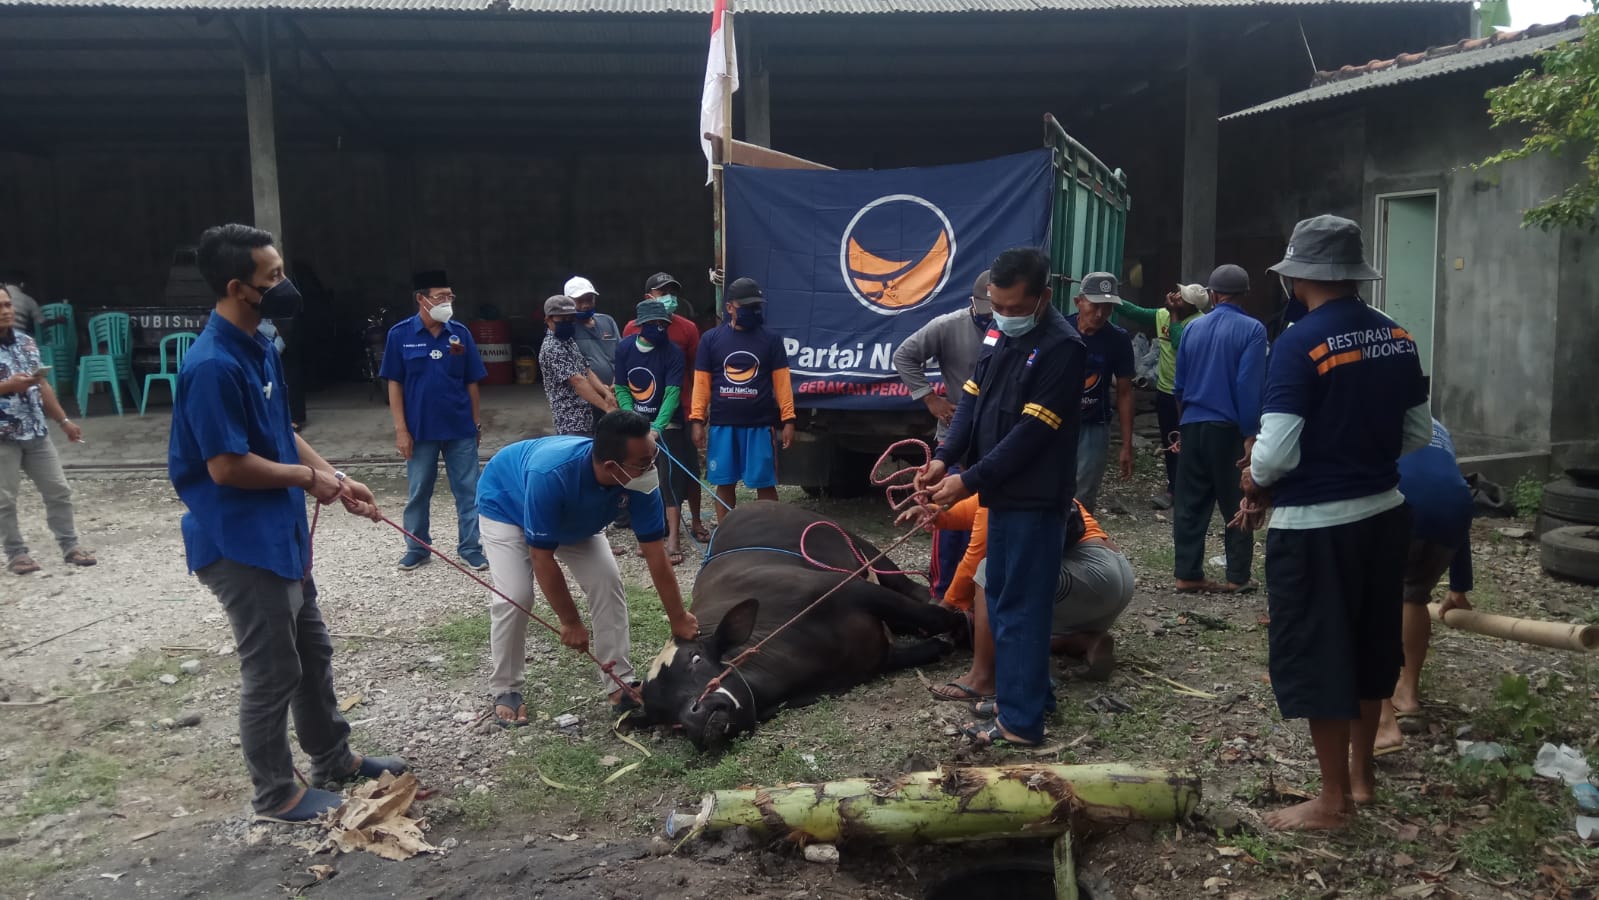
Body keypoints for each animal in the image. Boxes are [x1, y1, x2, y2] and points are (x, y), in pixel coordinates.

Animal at [636, 505, 959, 751]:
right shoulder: (877, 659)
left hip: (863, 548)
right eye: (661, 714)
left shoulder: (850, 589)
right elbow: (928, 648)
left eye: (696, 658)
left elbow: (935, 617)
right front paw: (941, 643)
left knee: (911, 588)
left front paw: (961, 626)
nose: (694, 715)